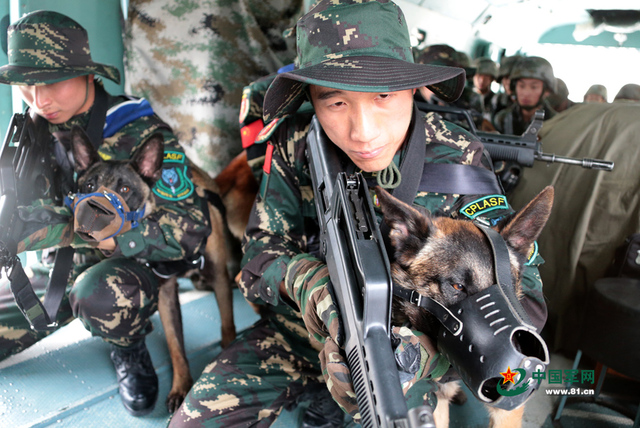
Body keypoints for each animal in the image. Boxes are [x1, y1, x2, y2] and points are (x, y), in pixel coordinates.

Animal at [70, 128, 258, 414]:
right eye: (89, 186)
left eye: (125, 189)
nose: (95, 215)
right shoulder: (166, 292)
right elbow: (175, 345)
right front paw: (180, 387)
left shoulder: (218, 277)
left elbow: (227, 325)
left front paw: (225, 355)